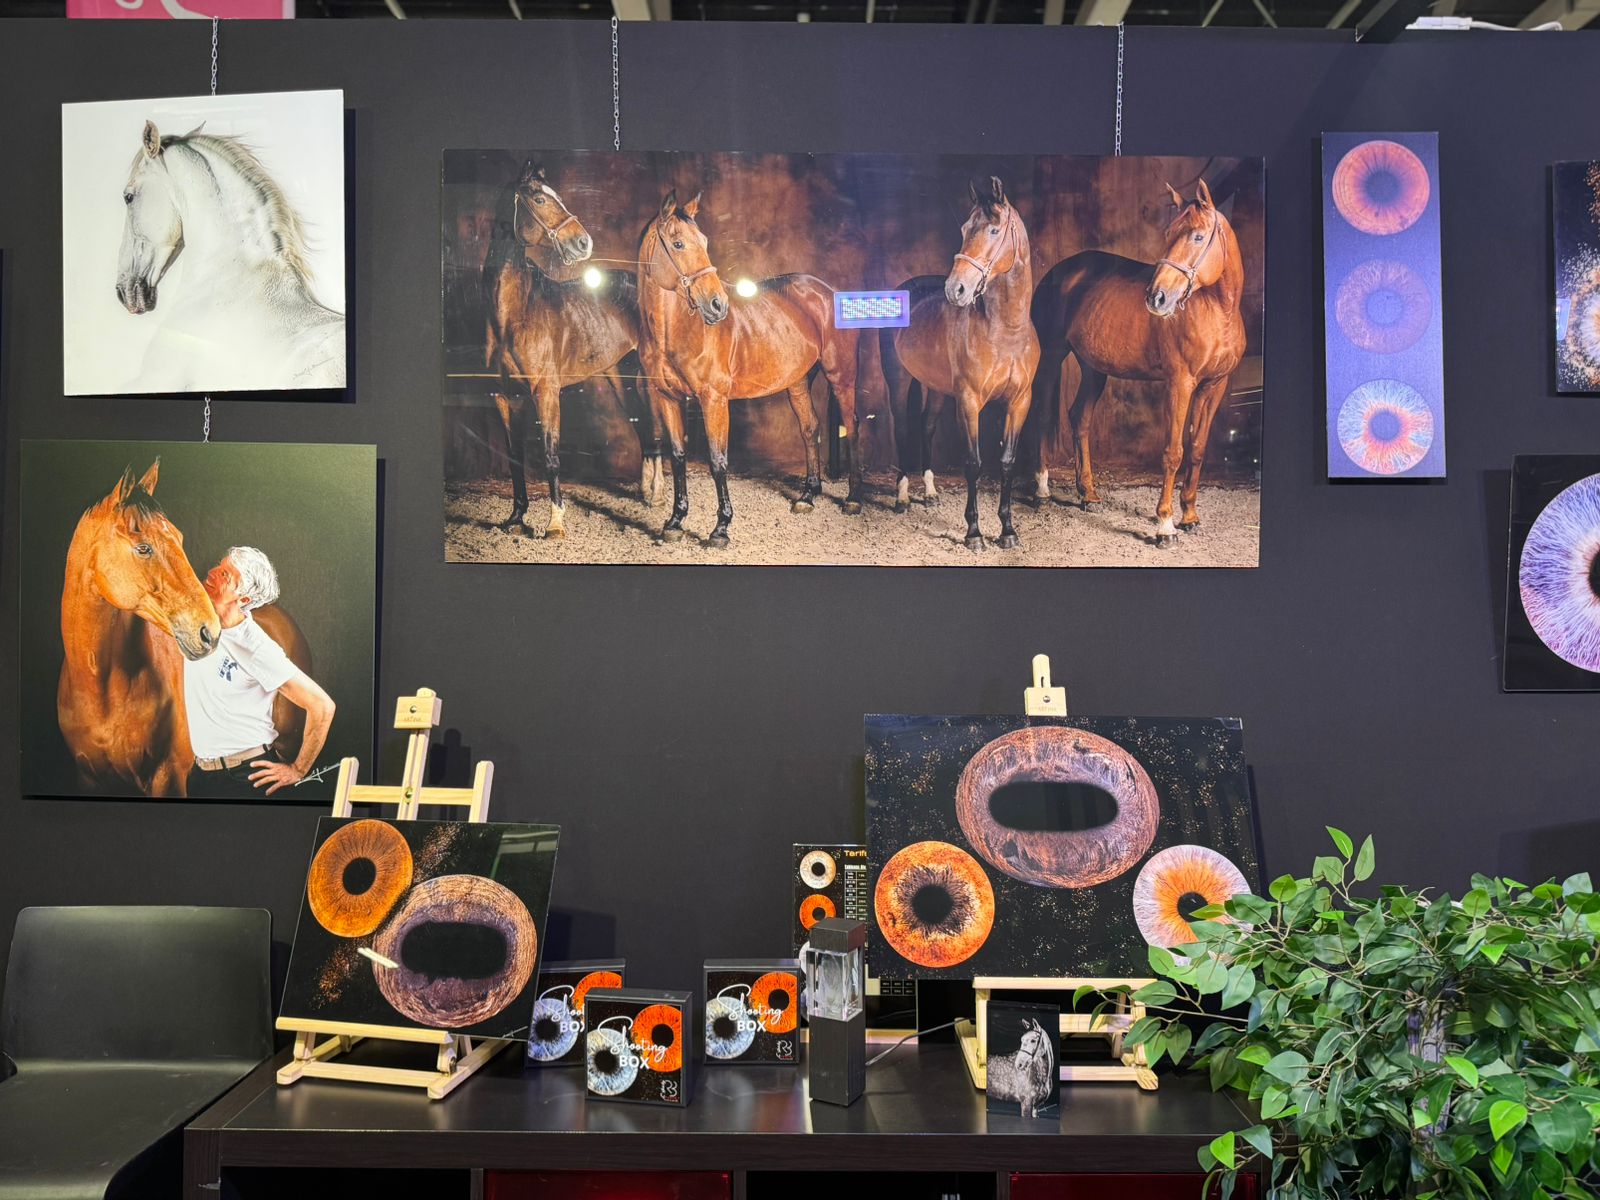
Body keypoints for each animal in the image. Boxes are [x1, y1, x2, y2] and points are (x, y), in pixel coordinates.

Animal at [484, 163, 663, 539]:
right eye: (539, 199)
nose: (584, 243)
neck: (513, 314)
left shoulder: (546, 391)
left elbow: (551, 456)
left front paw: (555, 524)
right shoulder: (504, 396)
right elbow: (514, 456)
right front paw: (516, 518)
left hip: (647, 375)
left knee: (656, 424)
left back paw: (657, 494)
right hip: (619, 375)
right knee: (641, 425)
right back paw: (646, 493)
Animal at [636, 190, 863, 547]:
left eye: (704, 240)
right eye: (678, 243)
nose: (718, 305)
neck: (674, 330)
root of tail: (828, 292)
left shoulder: (714, 400)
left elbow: (718, 460)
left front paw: (721, 528)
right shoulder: (668, 398)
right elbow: (678, 455)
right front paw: (674, 521)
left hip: (841, 377)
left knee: (851, 427)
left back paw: (853, 499)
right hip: (798, 382)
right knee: (809, 428)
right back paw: (808, 496)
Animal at [881, 177, 1040, 550]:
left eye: (994, 230)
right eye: (966, 229)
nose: (956, 289)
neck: (1006, 331)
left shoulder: (1020, 401)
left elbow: (1007, 462)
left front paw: (1008, 530)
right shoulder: (969, 401)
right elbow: (974, 463)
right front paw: (974, 533)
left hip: (937, 389)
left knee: (925, 425)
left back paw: (929, 493)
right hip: (898, 380)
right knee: (902, 428)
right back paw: (902, 497)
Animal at [1030, 179, 1246, 547]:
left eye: (1197, 237)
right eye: (1169, 232)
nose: (1156, 297)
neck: (1219, 312)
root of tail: (1060, 271)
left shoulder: (1214, 386)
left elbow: (1198, 448)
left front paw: (1190, 516)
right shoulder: (1180, 384)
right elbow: (1173, 451)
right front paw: (1165, 525)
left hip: (1094, 369)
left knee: (1080, 418)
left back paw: (1089, 495)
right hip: (1052, 357)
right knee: (1044, 416)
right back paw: (1042, 489)